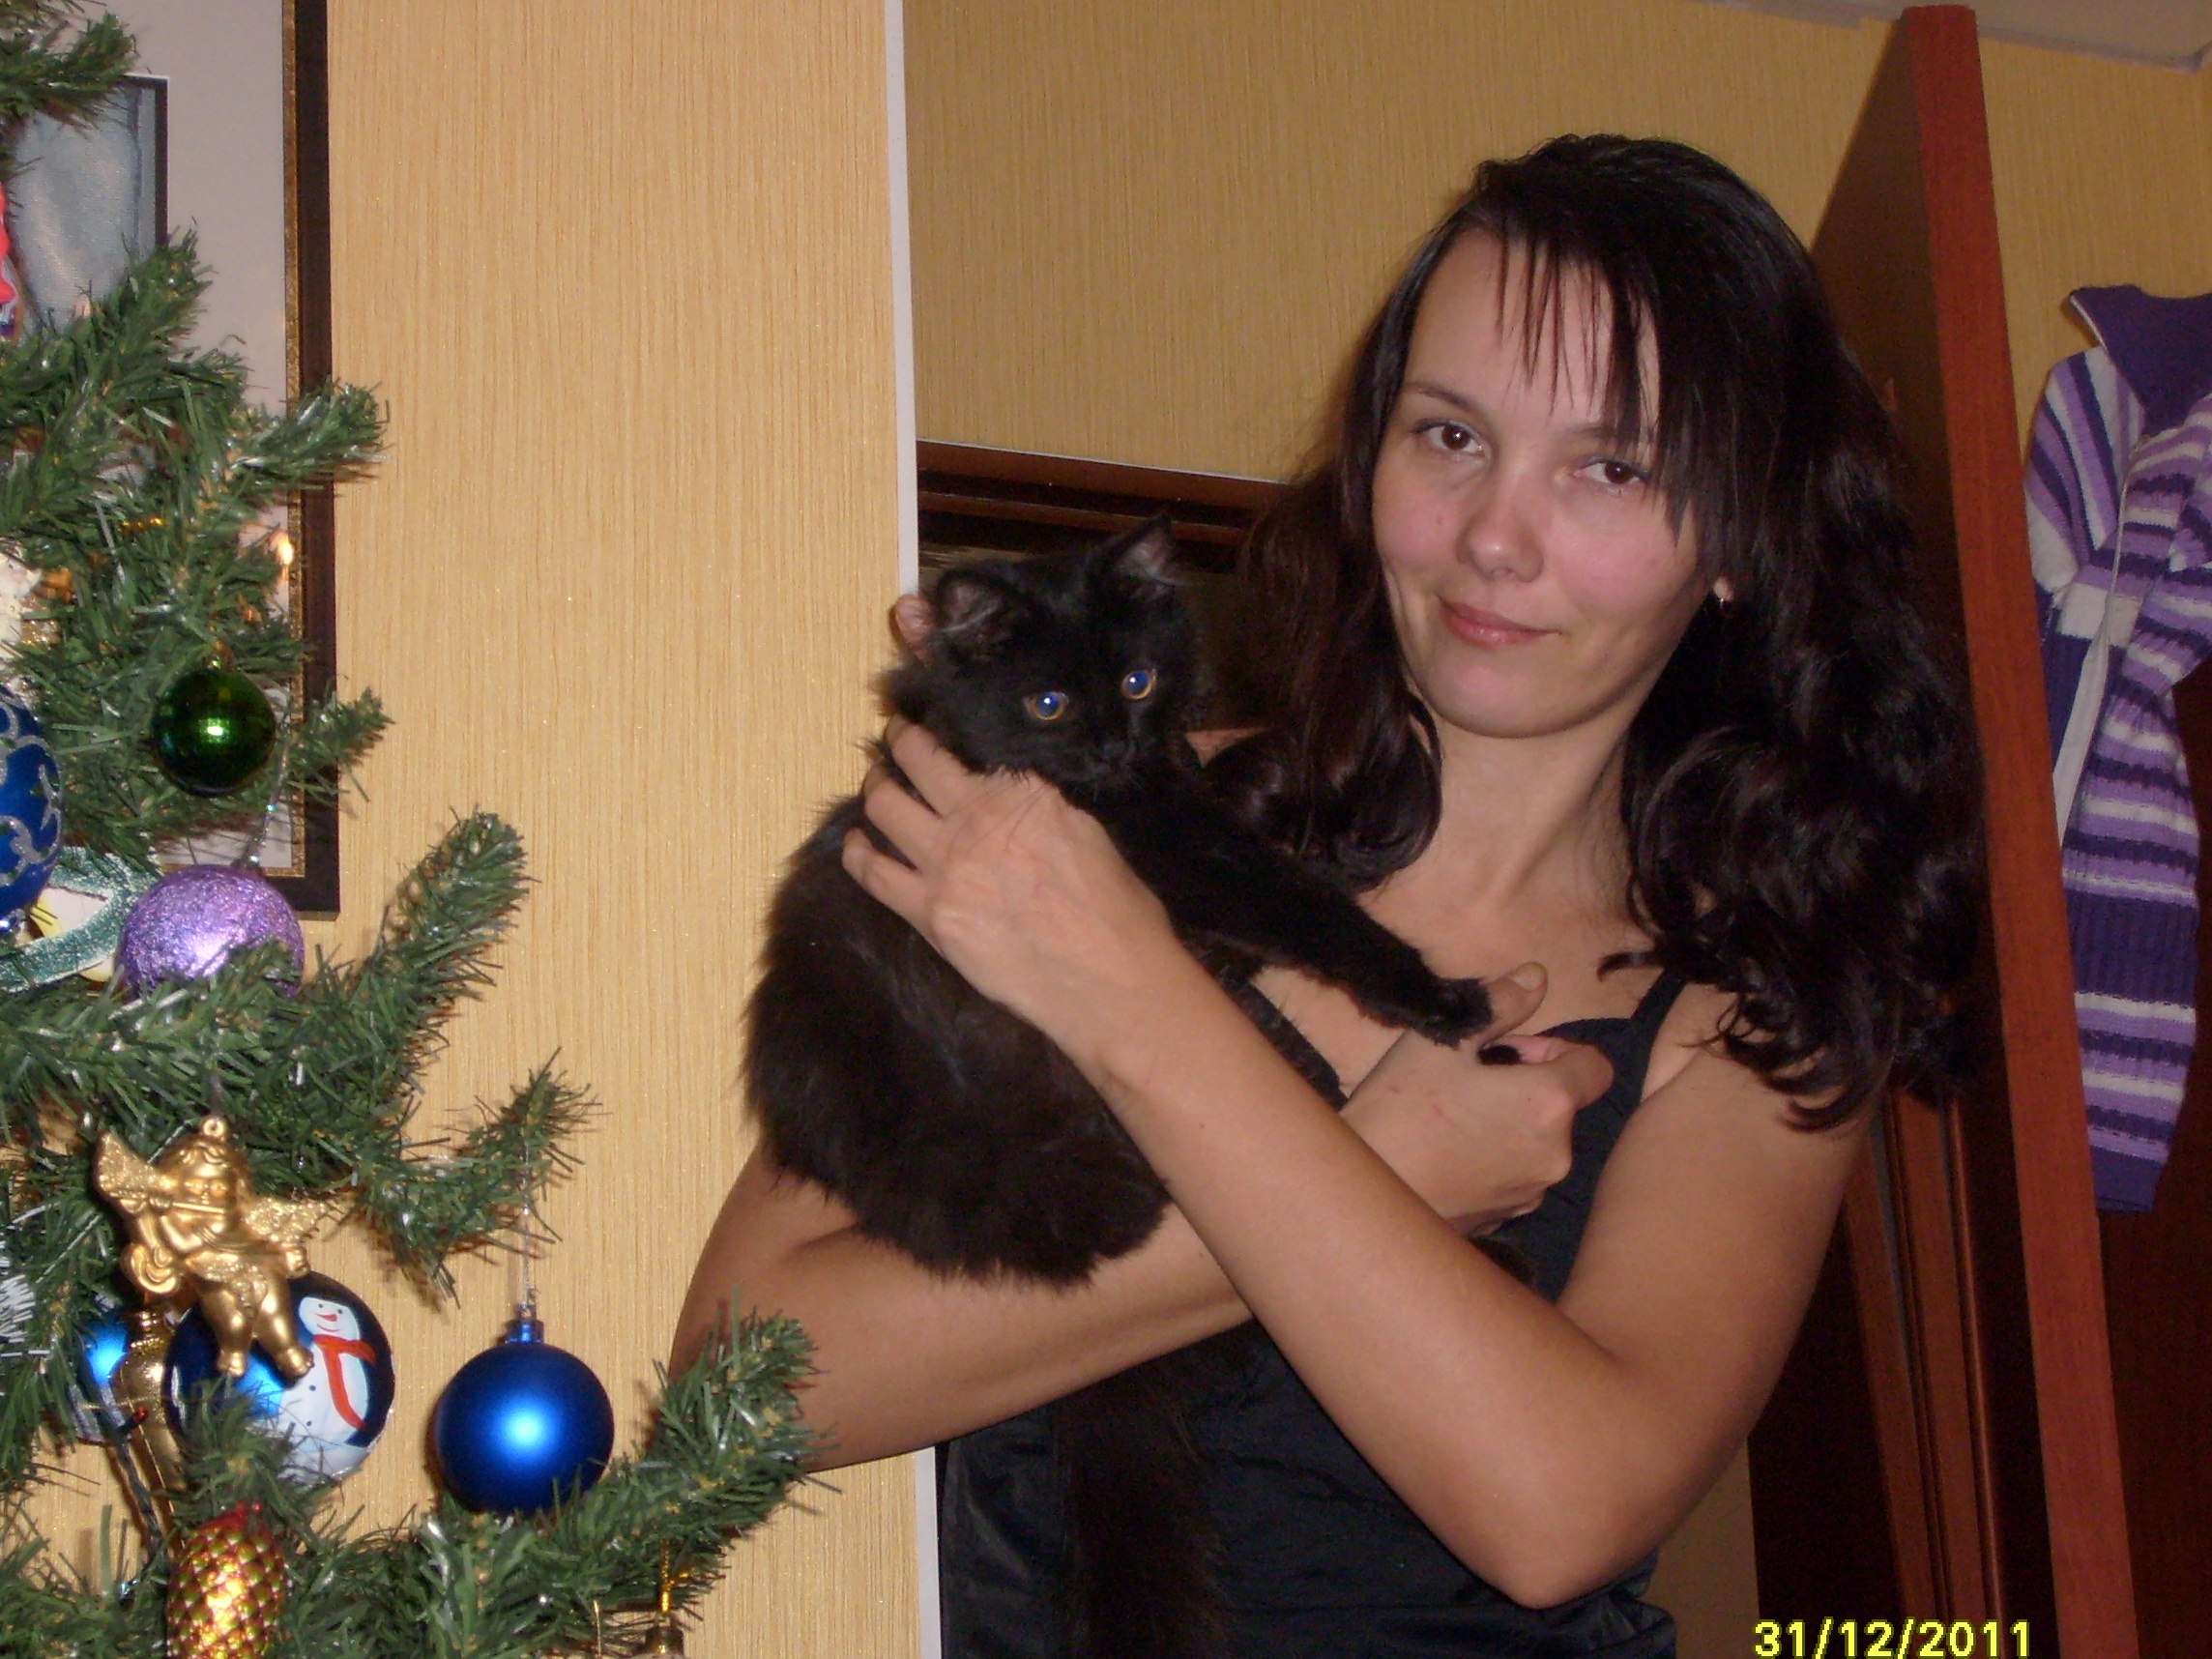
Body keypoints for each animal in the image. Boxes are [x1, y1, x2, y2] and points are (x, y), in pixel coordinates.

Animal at [746, 517, 1494, 1657]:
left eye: (1138, 681)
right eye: (1049, 703)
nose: (1111, 748)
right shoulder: (1184, 857)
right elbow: (1310, 910)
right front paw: (1437, 996)